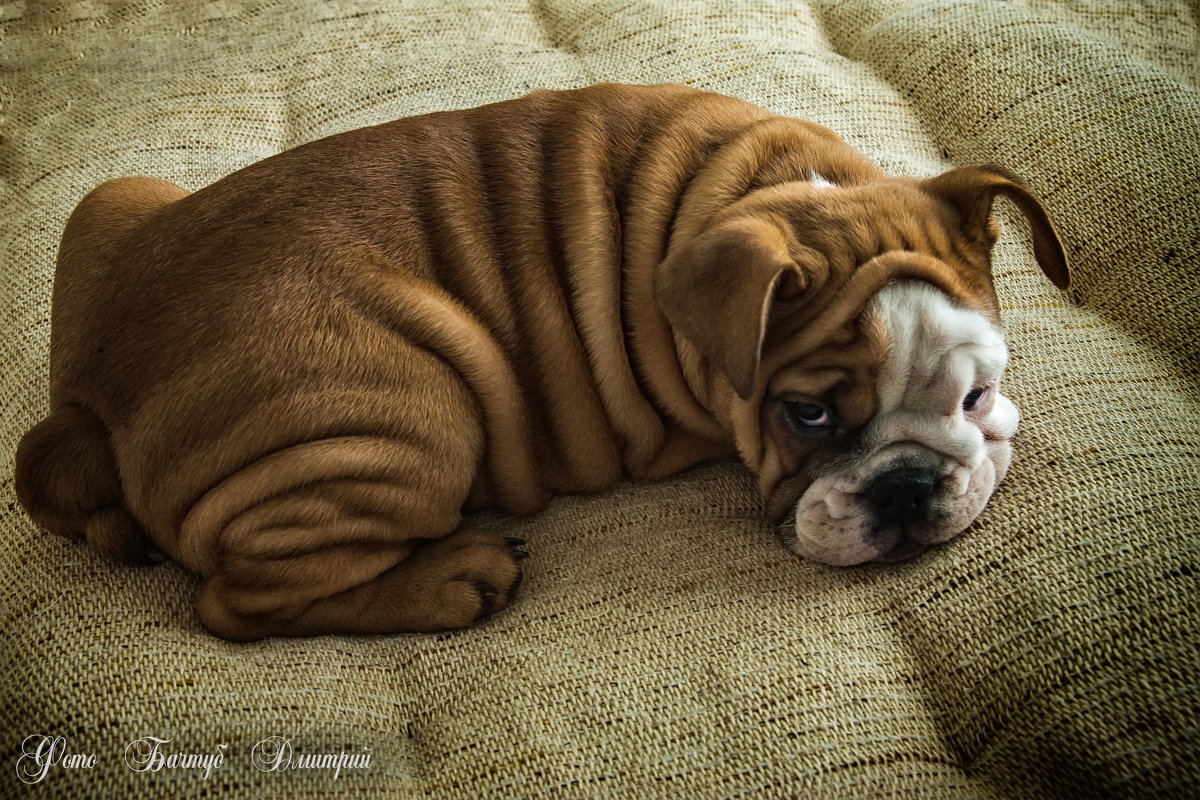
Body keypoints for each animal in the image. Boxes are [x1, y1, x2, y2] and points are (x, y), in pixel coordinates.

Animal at [16, 84, 1070, 642]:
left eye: (977, 394)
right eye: (805, 416)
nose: (906, 487)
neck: (783, 193)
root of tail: (85, 412)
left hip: (114, 197)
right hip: (416, 414)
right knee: (236, 603)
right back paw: (452, 577)